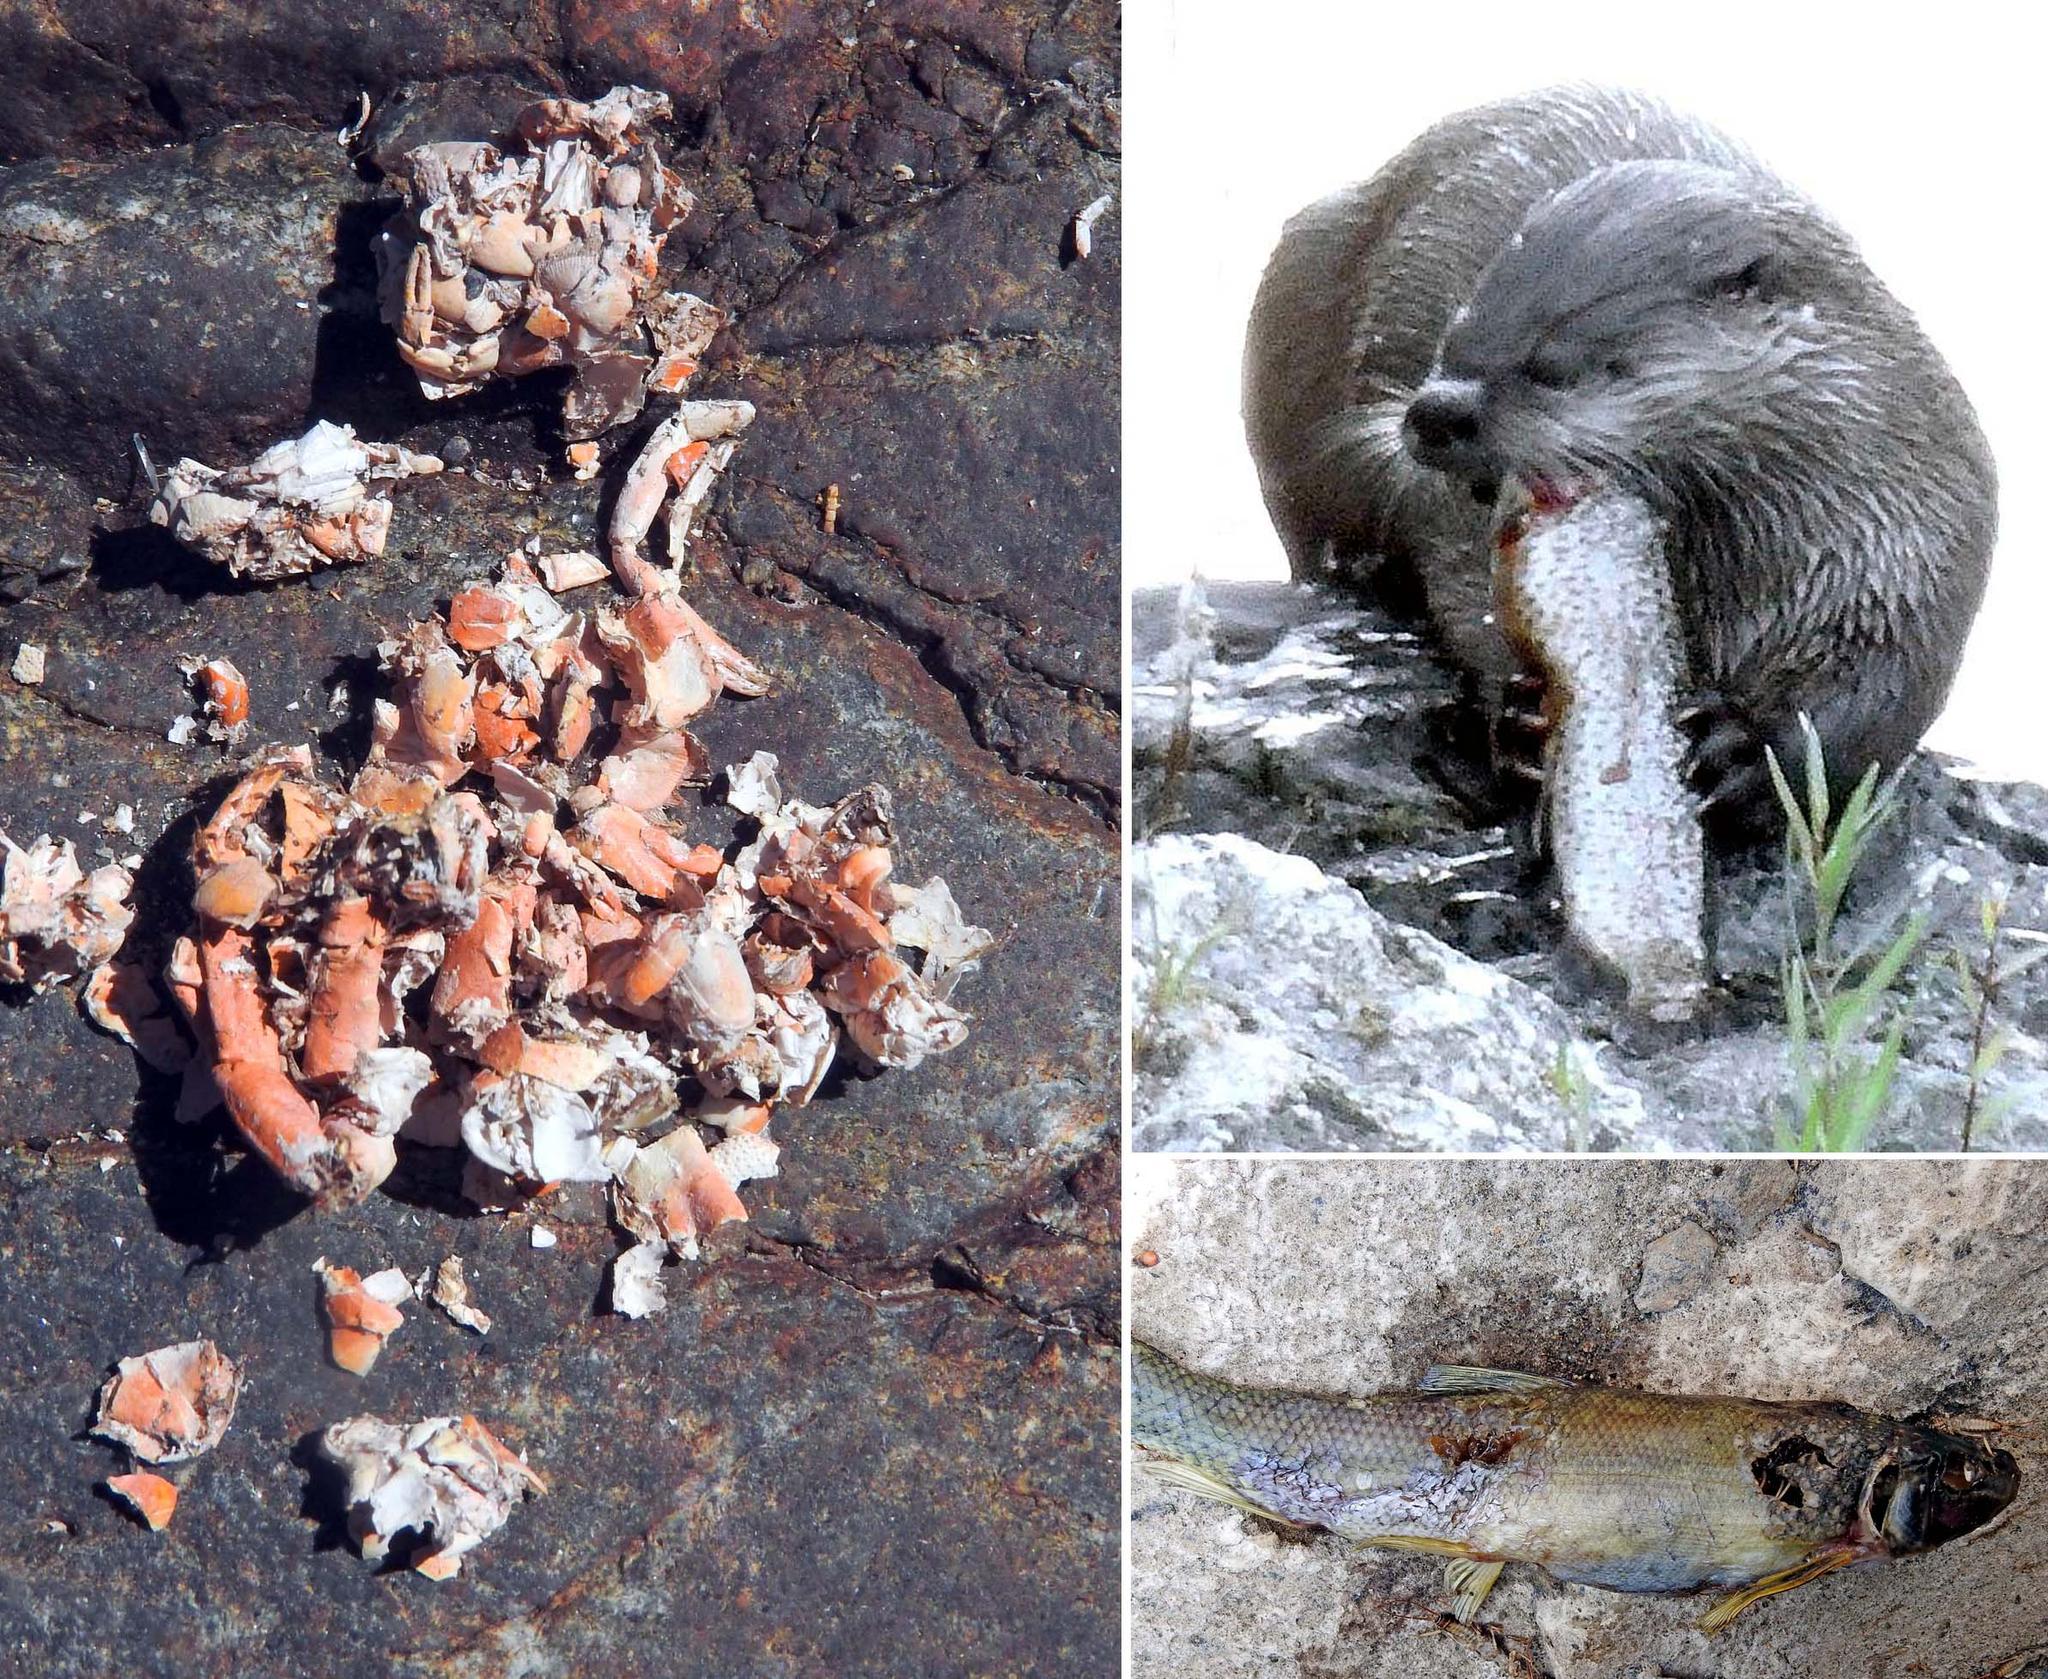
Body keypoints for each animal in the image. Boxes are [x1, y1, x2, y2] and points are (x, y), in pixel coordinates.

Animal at [1243, 85, 1997, 823]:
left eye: (1553, 364)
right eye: (1456, 334)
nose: (1435, 411)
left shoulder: (1912, 530)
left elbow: (1880, 687)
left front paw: (1743, 746)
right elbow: (1462, 579)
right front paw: (1521, 708)